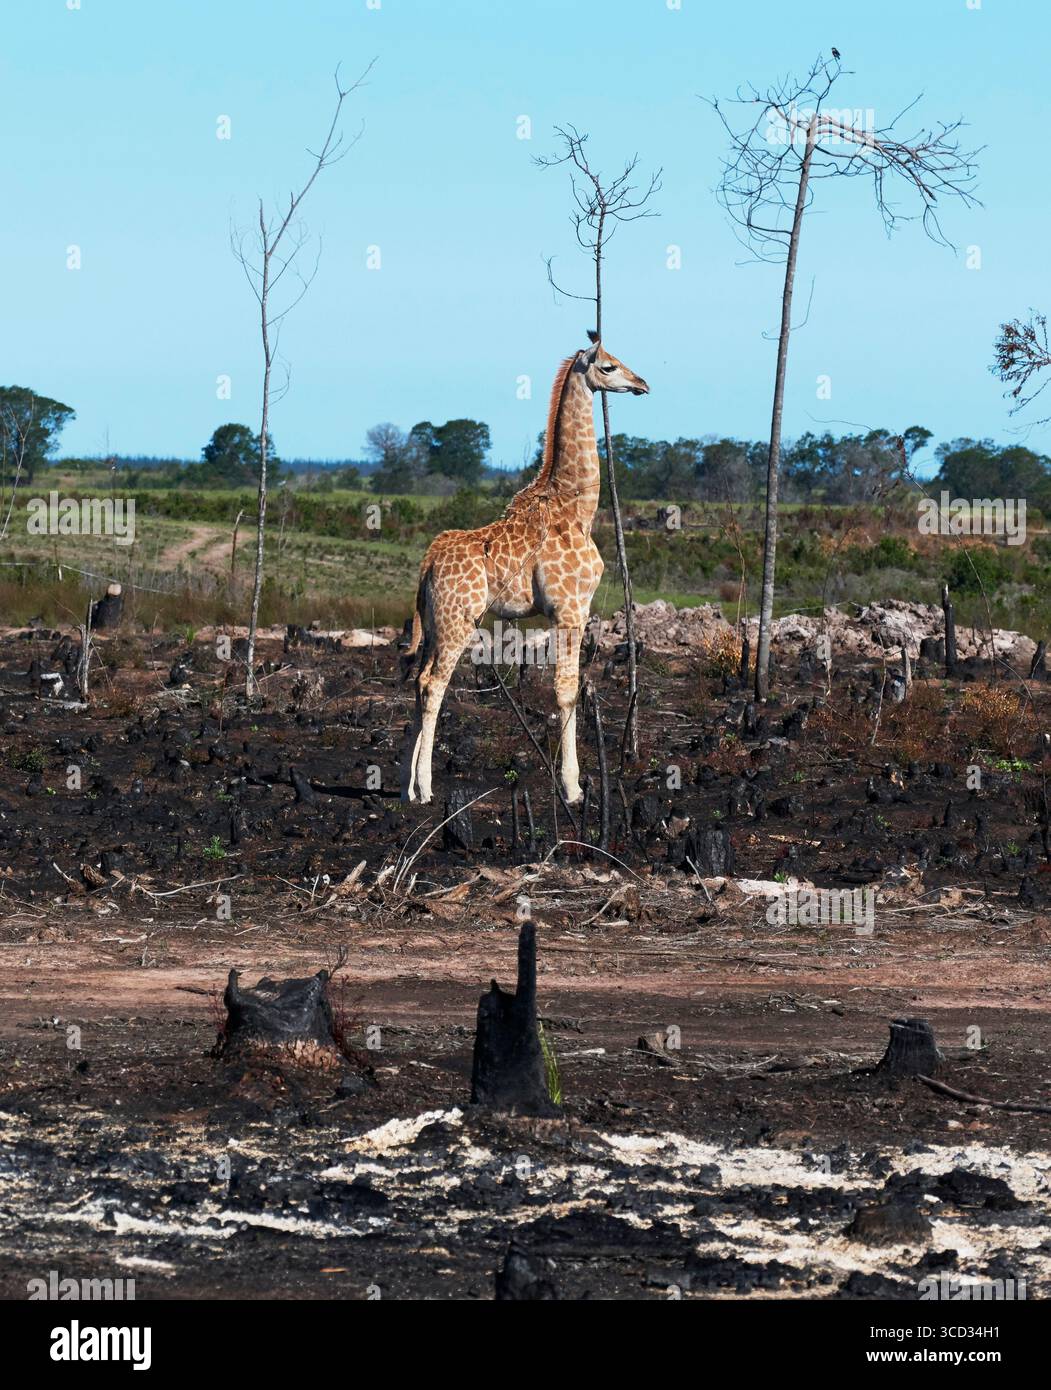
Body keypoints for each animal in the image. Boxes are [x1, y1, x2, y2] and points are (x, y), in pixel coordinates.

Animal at [400, 333, 649, 805]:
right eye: (608, 366)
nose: (642, 383)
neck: (578, 509)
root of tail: (428, 561)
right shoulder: (570, 610)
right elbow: (566, 691)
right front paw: (572, 788)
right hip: (458, 621)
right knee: (434, 684)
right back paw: (426, 788)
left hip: (435, 622)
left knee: (417, 680)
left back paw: (410, 788)